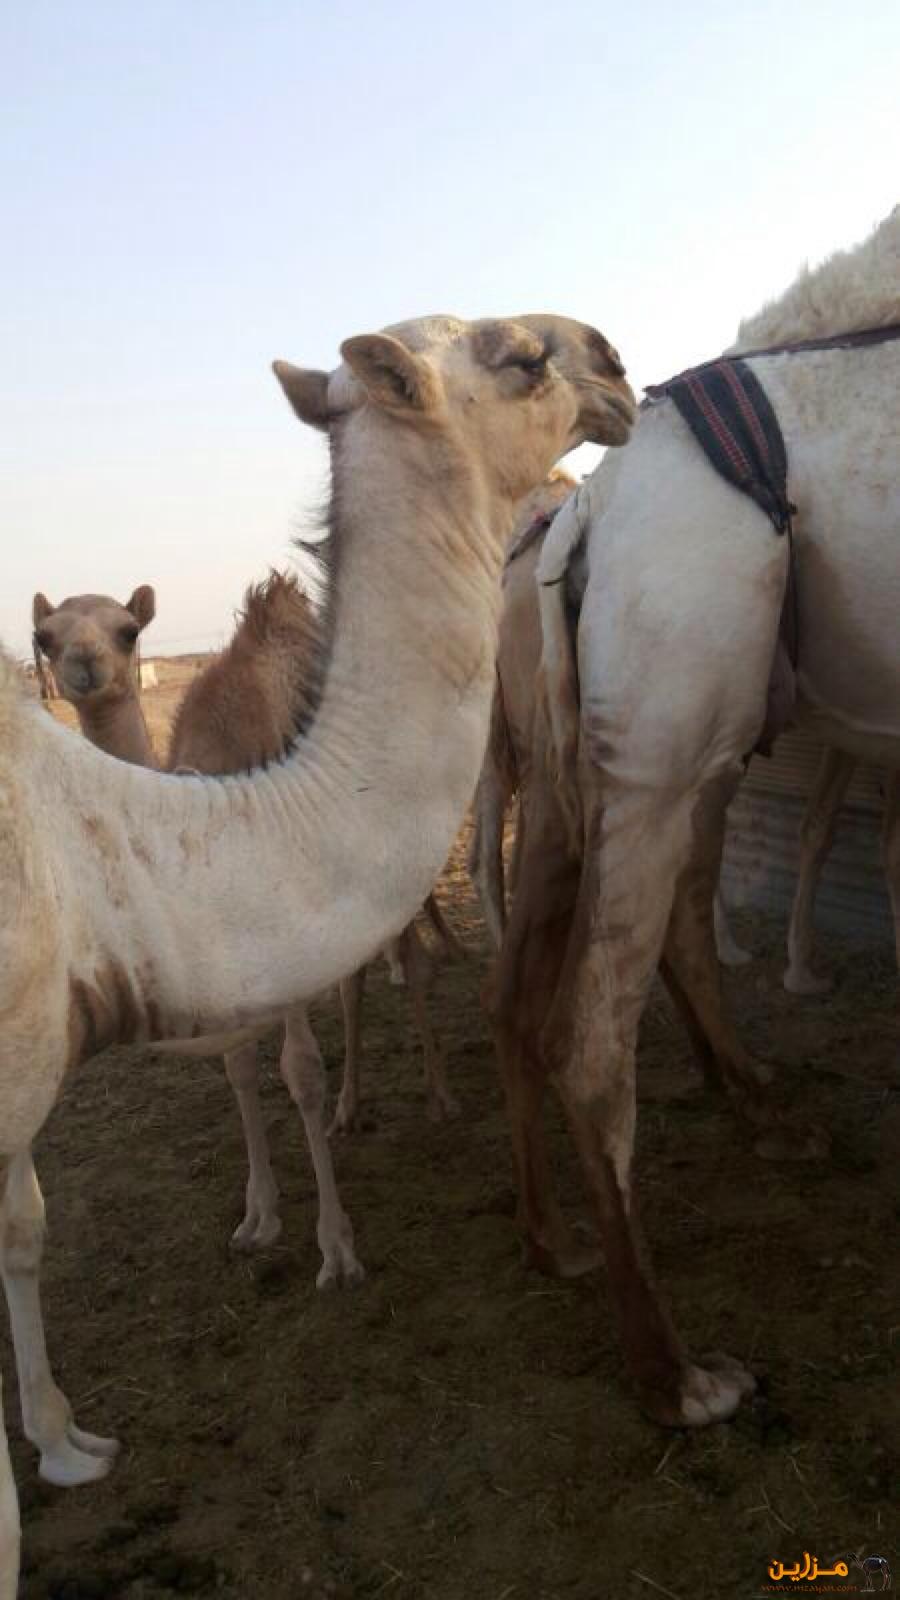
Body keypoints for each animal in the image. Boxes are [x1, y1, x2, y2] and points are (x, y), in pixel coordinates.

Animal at [33, 574, 461, 1256]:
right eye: (44, 638)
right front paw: (259, 1216)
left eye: (128, 630)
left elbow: (301, 1070)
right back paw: (350, 1109)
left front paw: (335, 1245)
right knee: (353, 981)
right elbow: (237, 1065)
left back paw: (440, 1096)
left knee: (413, 960)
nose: (84, 666)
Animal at [491, 209, 899, 1431]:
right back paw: (678, 1376)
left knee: (525, 995)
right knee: (590, 1036)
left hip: (597, 772)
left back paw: (560, 1239)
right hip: (669, 740)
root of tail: (587, 518)